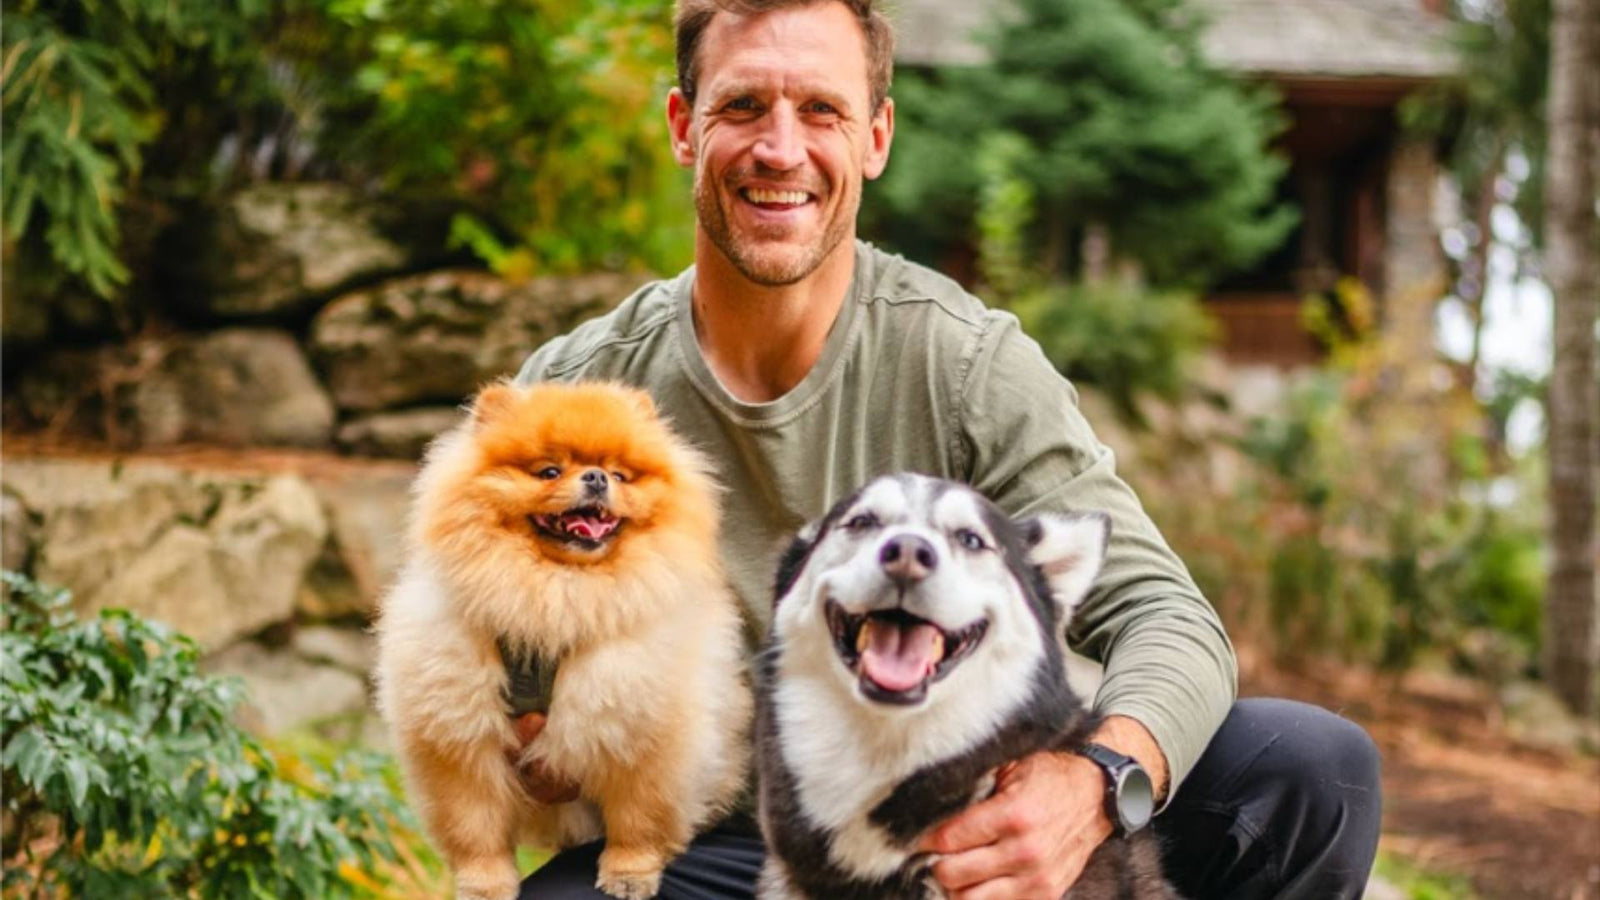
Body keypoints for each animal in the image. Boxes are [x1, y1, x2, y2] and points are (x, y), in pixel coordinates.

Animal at [376, 377, 755, 896]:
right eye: (549, 471)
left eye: (620, 475)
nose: (595, 477)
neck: (561, 593)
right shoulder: (460, 739)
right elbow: (475, 829)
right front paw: (483, 884)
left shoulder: (642, 734)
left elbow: (638, 818)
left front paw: (628, 873)